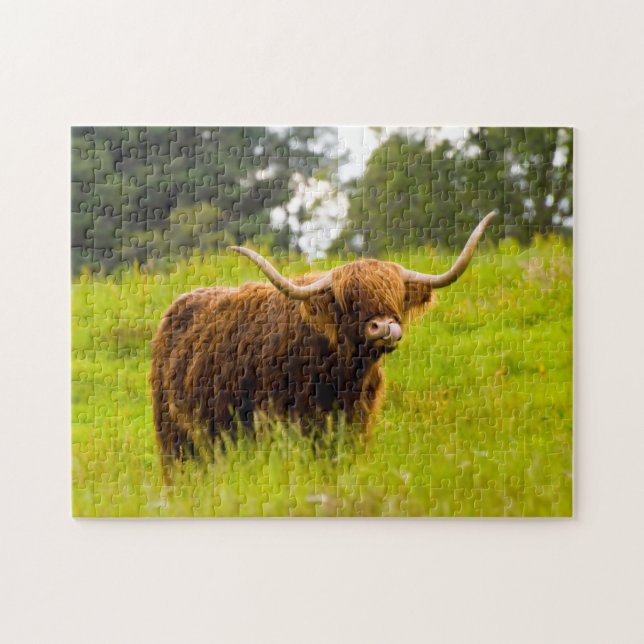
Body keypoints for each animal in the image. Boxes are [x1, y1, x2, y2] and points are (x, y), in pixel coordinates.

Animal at [150, 212, 496, 472]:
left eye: (395, 295)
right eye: (349, 299)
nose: (384, 327)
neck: (343, 374)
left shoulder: (355, 424)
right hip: (176, 439)